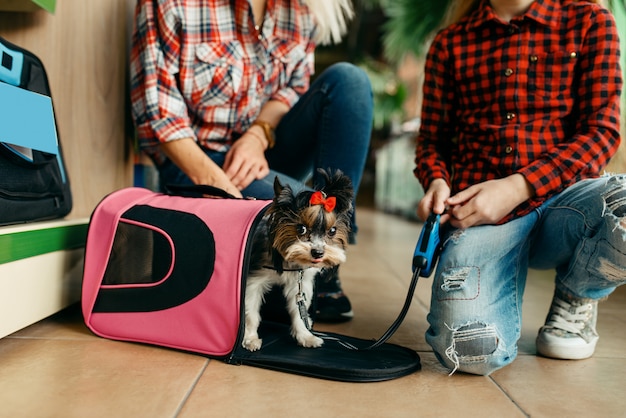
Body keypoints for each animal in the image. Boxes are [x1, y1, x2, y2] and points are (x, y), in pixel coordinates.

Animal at [243, 171, 354, 352]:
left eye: (332, 231)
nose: (318, 253)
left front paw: (306, 336)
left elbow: (299, 311)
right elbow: (250, 312)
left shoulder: (300, 284)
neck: (290, 261)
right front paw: (249, 339)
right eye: (301, 228)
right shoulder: (254, 280)